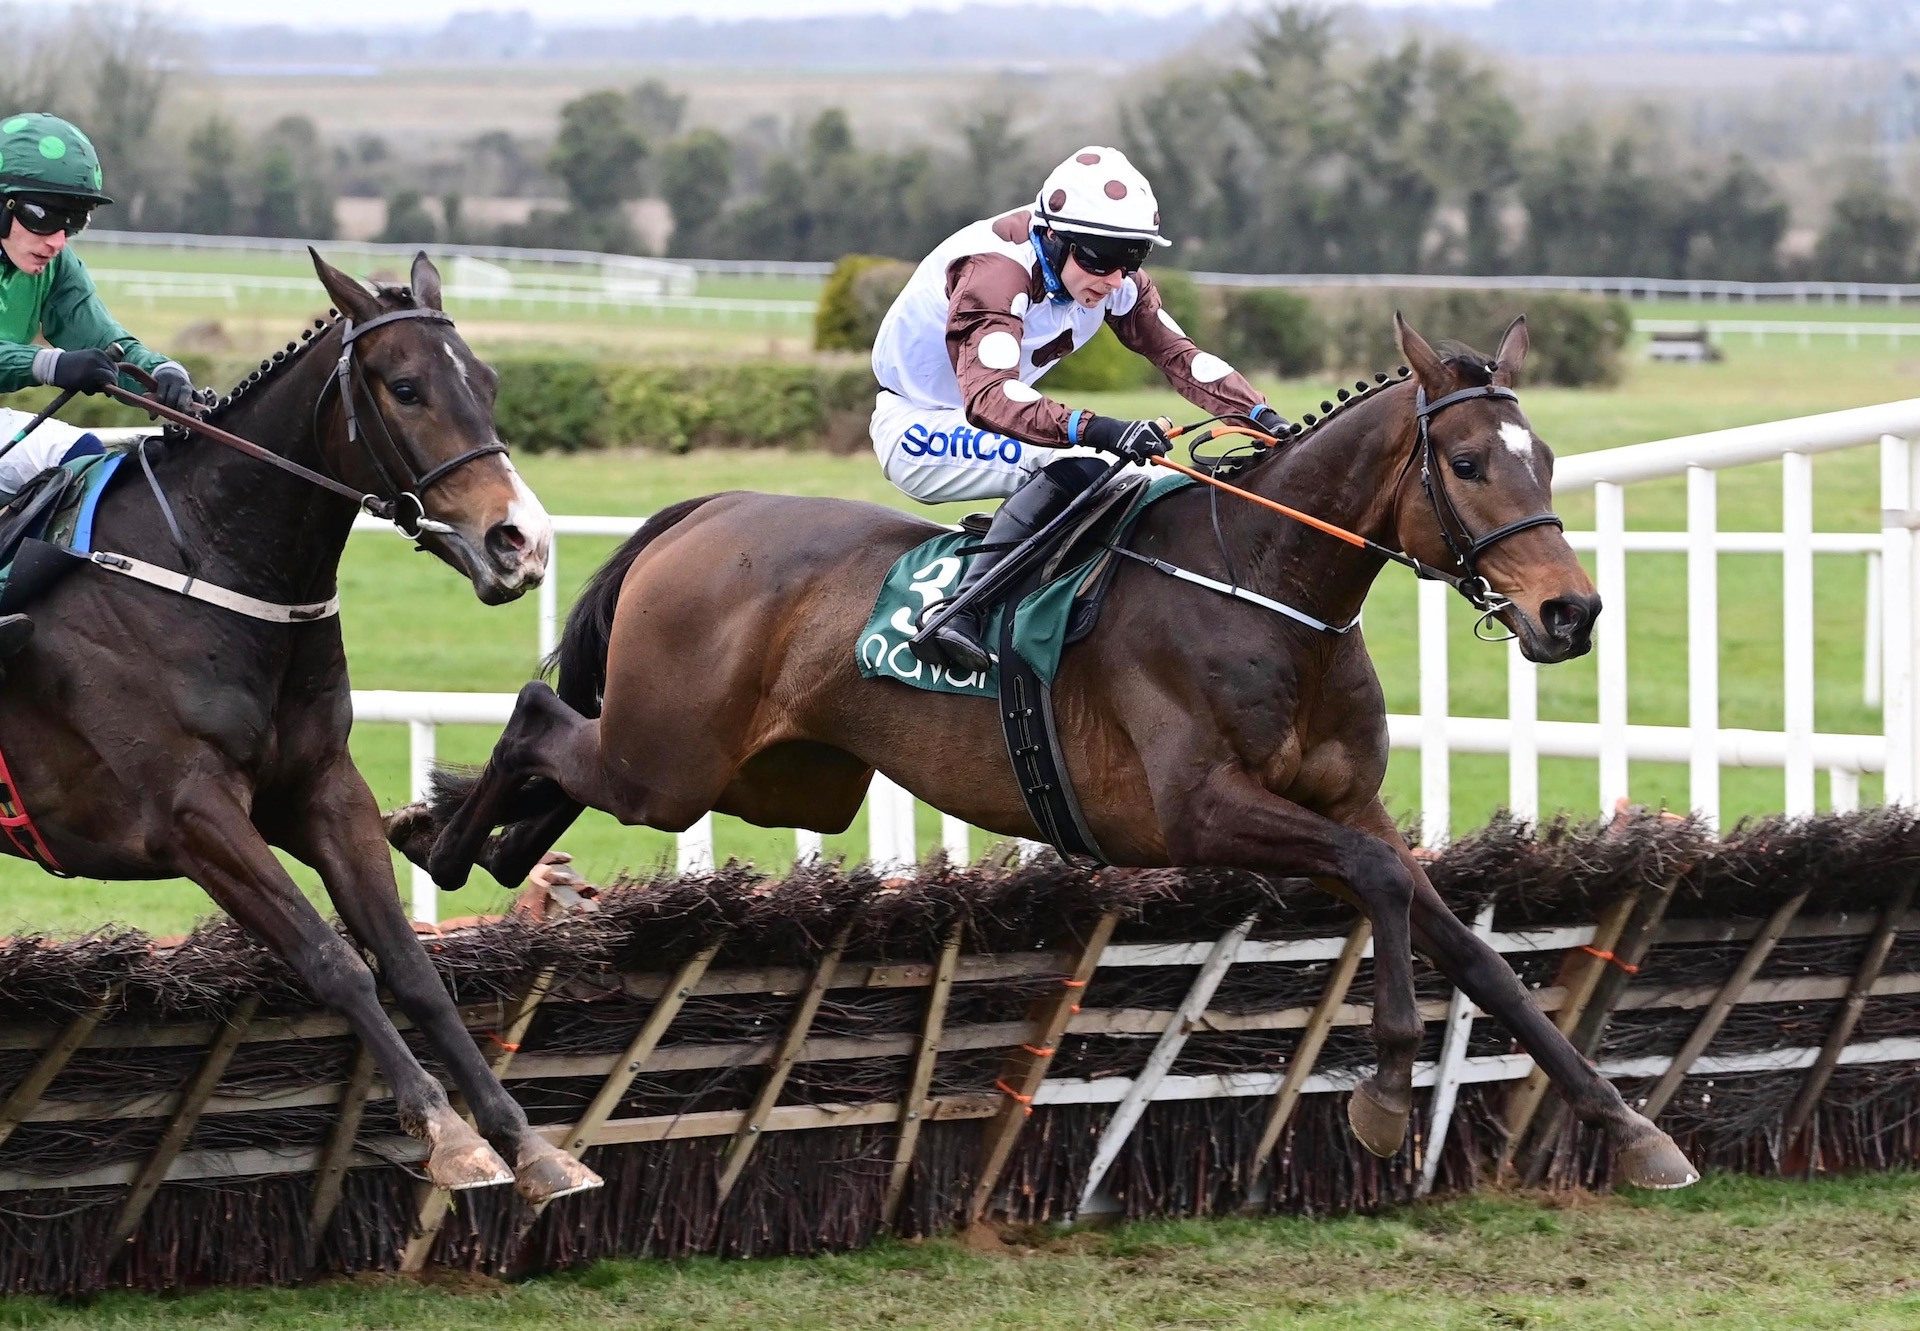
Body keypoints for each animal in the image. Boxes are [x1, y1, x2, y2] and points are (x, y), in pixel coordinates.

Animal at [0, 251, 599, 1206]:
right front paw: (448, 1134)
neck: (215, 571)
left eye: (489, 381)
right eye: (405, 388)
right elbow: (333, 958)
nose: (523, 543)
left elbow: (411, 965)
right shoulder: (190, 813)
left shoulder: (324, 787)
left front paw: (527, 1142)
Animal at [401, 316, 1697, 1190]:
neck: (1266, 587)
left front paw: (1626, 1124)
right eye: (1470, 464)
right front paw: (1382, 1091)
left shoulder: (1350, 803)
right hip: (673, 762)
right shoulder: (1197, 814)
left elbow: (1467, 944)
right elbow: (1380, 886)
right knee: (538, 712)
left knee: (561, 763)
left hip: (757, 778)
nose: (1571, 612)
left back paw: (491, 850)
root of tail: (706, 509)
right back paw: (444, 841)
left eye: (1544, 456)